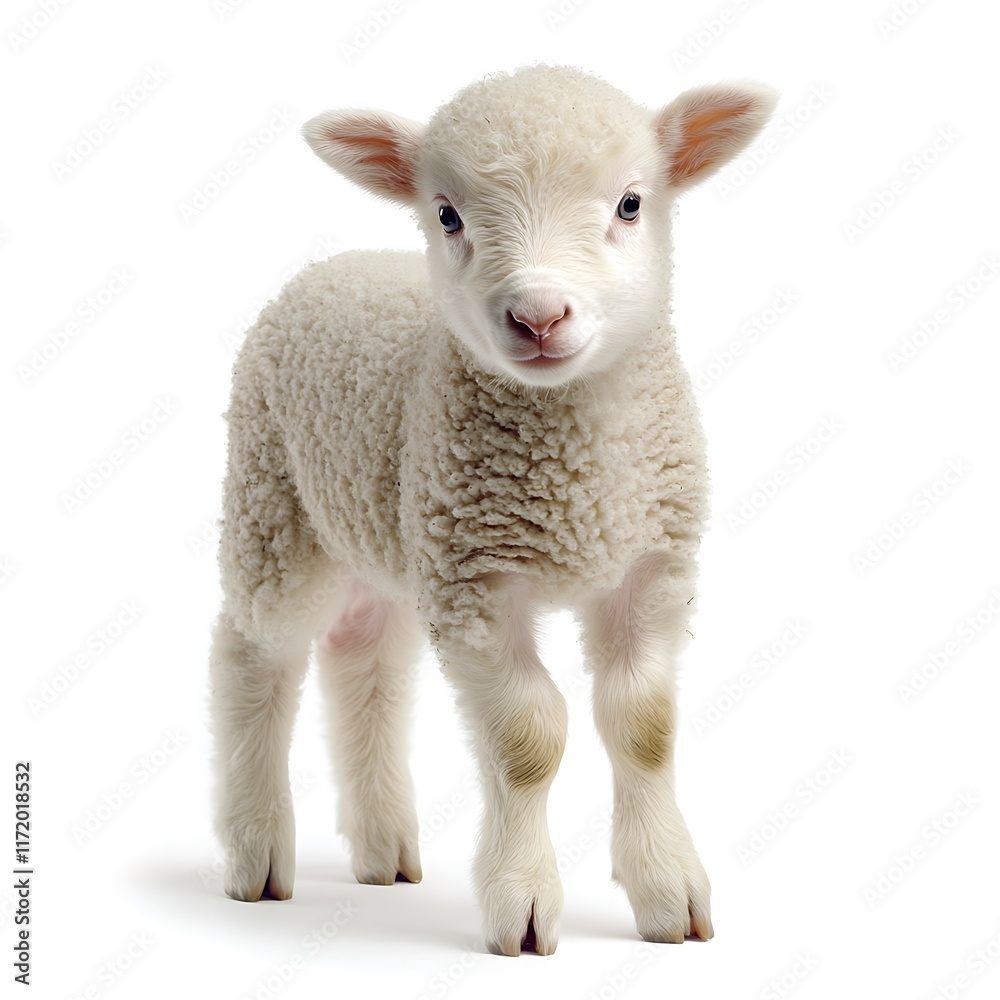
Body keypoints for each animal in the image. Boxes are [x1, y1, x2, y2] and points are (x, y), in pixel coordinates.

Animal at [210, 64, 776, 956]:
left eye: (631, 204)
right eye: (448, 215)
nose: (539, 316)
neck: (577, 483)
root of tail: (336, 262)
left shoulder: (651, 568)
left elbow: (644, 725)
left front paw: (667, 890)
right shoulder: (476, 583)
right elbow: (526, 739)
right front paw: (525, 904)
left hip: (388, 529)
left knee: (365, 658)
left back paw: (383, 849)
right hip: (274, 505)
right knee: (252, 657)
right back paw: (257, 849)